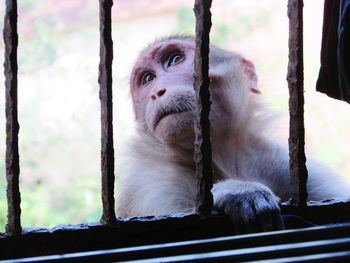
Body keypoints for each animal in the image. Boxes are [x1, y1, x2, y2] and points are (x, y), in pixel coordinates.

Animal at [115, 35, 350, 233]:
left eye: (175, 59)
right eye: (148, 78)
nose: (157, 92)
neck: (225, 156)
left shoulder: (287, 165)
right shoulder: (154, 183)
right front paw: (238, 191)